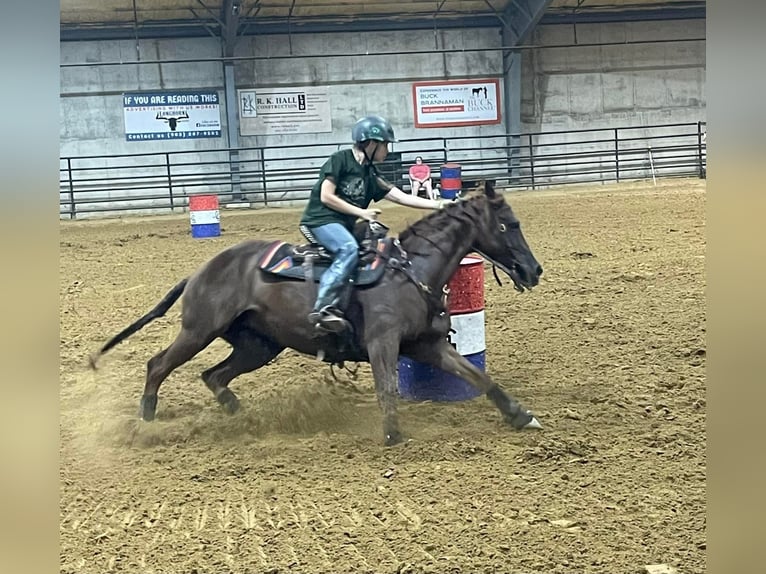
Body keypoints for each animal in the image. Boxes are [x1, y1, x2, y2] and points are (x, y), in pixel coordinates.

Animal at [90, 182, 544, 448]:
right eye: (508, 224)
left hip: (258, 345)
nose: (534, 270)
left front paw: (521, 416)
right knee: (158, 365)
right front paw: (393, 436)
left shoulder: (426, 345)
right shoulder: (383, 343)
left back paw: (243, 419)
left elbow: (479, 377)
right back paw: (146, 423)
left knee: (214, 376)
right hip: (198, 330)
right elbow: (387, 388)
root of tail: (199, 272)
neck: (411, 269)